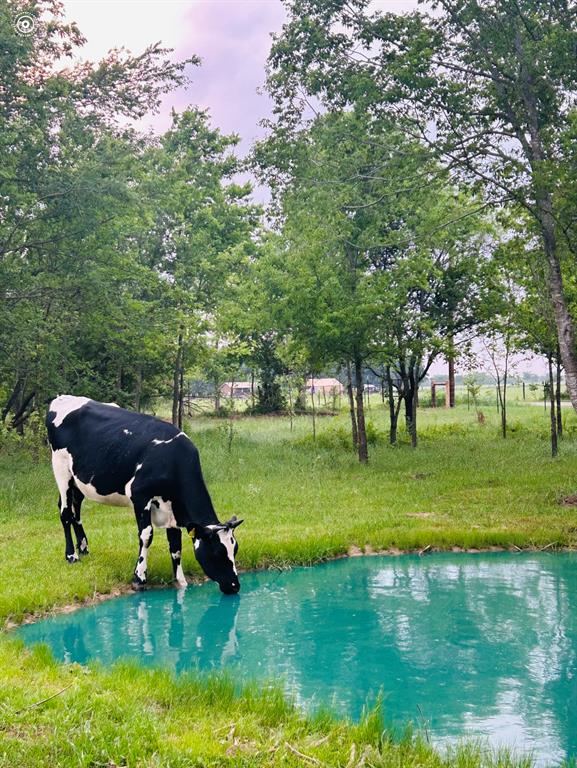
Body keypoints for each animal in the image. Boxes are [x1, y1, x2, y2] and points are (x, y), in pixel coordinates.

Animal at [46, 396, 242, 592]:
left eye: (236, 549)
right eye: (217, 552)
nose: (234, 586)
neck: (172, 460)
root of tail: (62, 397)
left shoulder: (172, 509)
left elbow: (175, 546)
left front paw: (181, 582)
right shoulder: (140, 496)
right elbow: (146, 535)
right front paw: (139, 577)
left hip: (79, 479)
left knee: (75, 509)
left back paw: (84, 548)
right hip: (61, 468)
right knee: (65, 512)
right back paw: (71, 556)